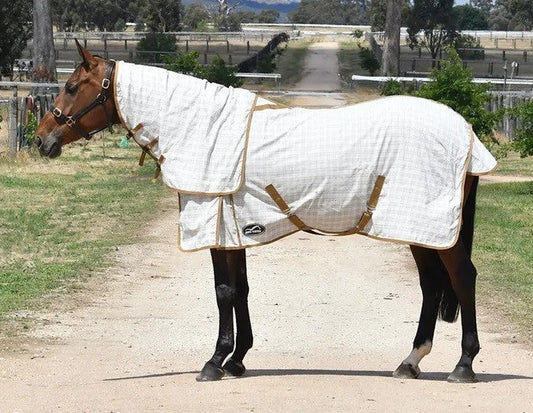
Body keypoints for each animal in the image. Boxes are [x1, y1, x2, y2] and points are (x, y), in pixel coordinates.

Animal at [35, 40, 496, 382]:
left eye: (72, 87)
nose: (41, 139)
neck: (199, 128)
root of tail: (466, 134)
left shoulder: (214, 222)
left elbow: (223, 292)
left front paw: (214, 363)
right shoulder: (233, 228)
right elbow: (240, 291)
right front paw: (237, 360)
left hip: (431, 228)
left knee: (462, 278)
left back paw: (463, 366)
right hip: (416, 228)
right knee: (432, 285)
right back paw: (409, 362)